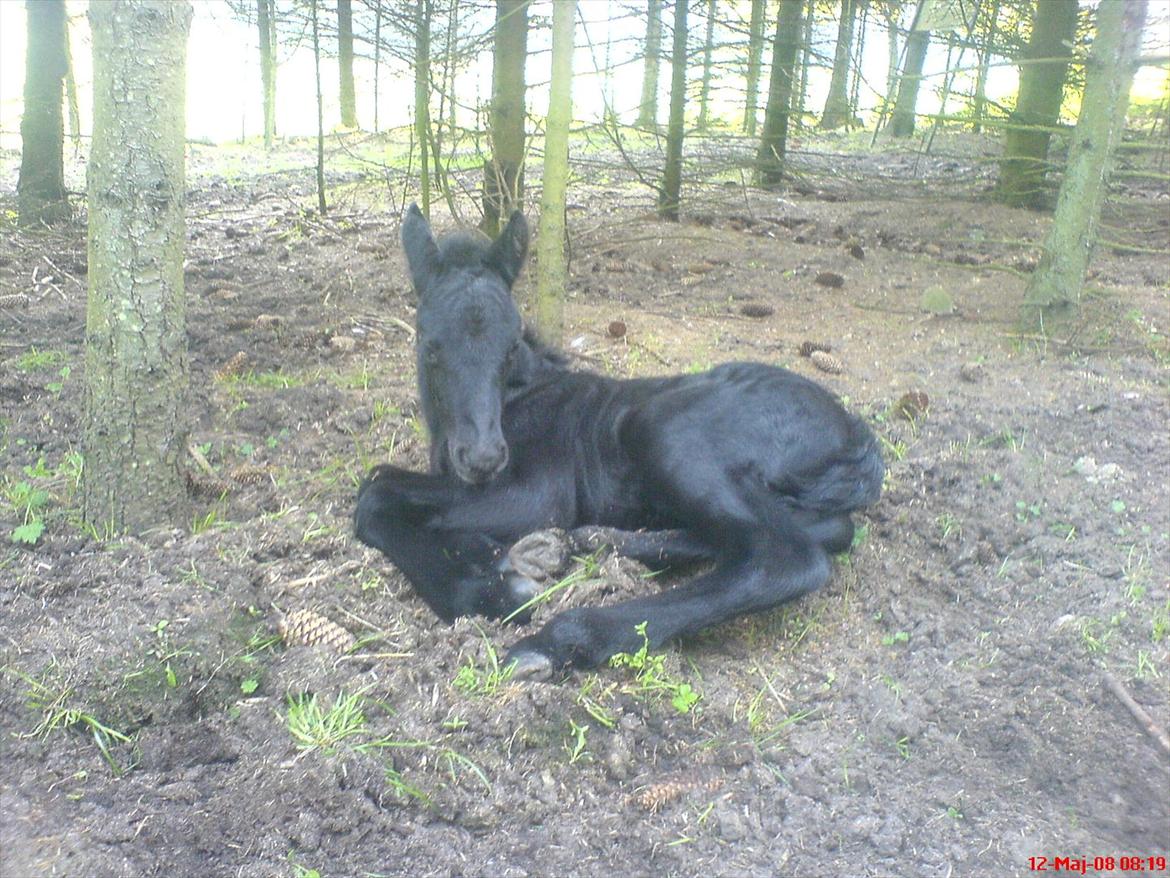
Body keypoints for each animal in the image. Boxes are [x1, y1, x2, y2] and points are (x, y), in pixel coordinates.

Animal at [355, 204, 884, 677]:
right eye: (429, 345)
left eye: (509, 347)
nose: (483, 457)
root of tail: (854, 435)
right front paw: (505, 556)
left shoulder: (536, 494)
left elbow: (375, 493)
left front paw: (492, 591)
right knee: (821, 530)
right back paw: (593, 542)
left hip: (669, 433)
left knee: (784, 556)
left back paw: (559, 640)